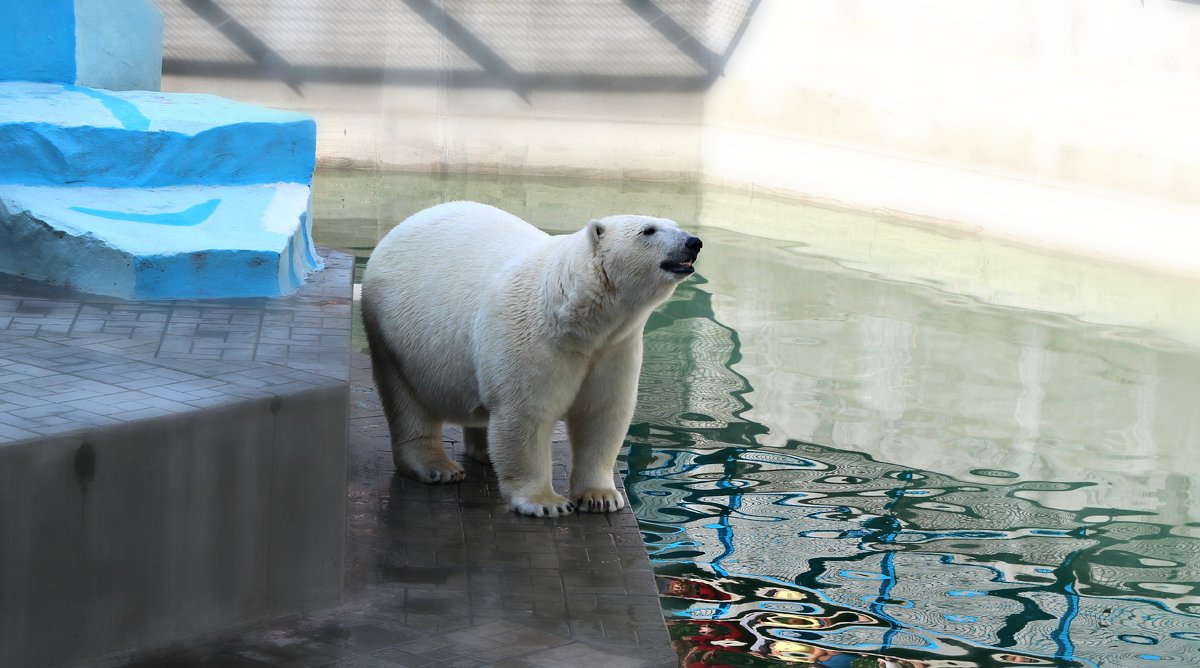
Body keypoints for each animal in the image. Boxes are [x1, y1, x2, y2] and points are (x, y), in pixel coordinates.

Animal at [364, 200, 700, 518]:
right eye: (648, 231)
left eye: (674, 224)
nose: (693, 242)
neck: (577, 319)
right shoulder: (532, 338)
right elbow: (525, 414)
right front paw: (546, 503)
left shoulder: (614, 347)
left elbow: (602, 412)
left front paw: (600, 497)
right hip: (395, 338)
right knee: (407, 400)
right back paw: (438, 467)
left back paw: (484, 453)